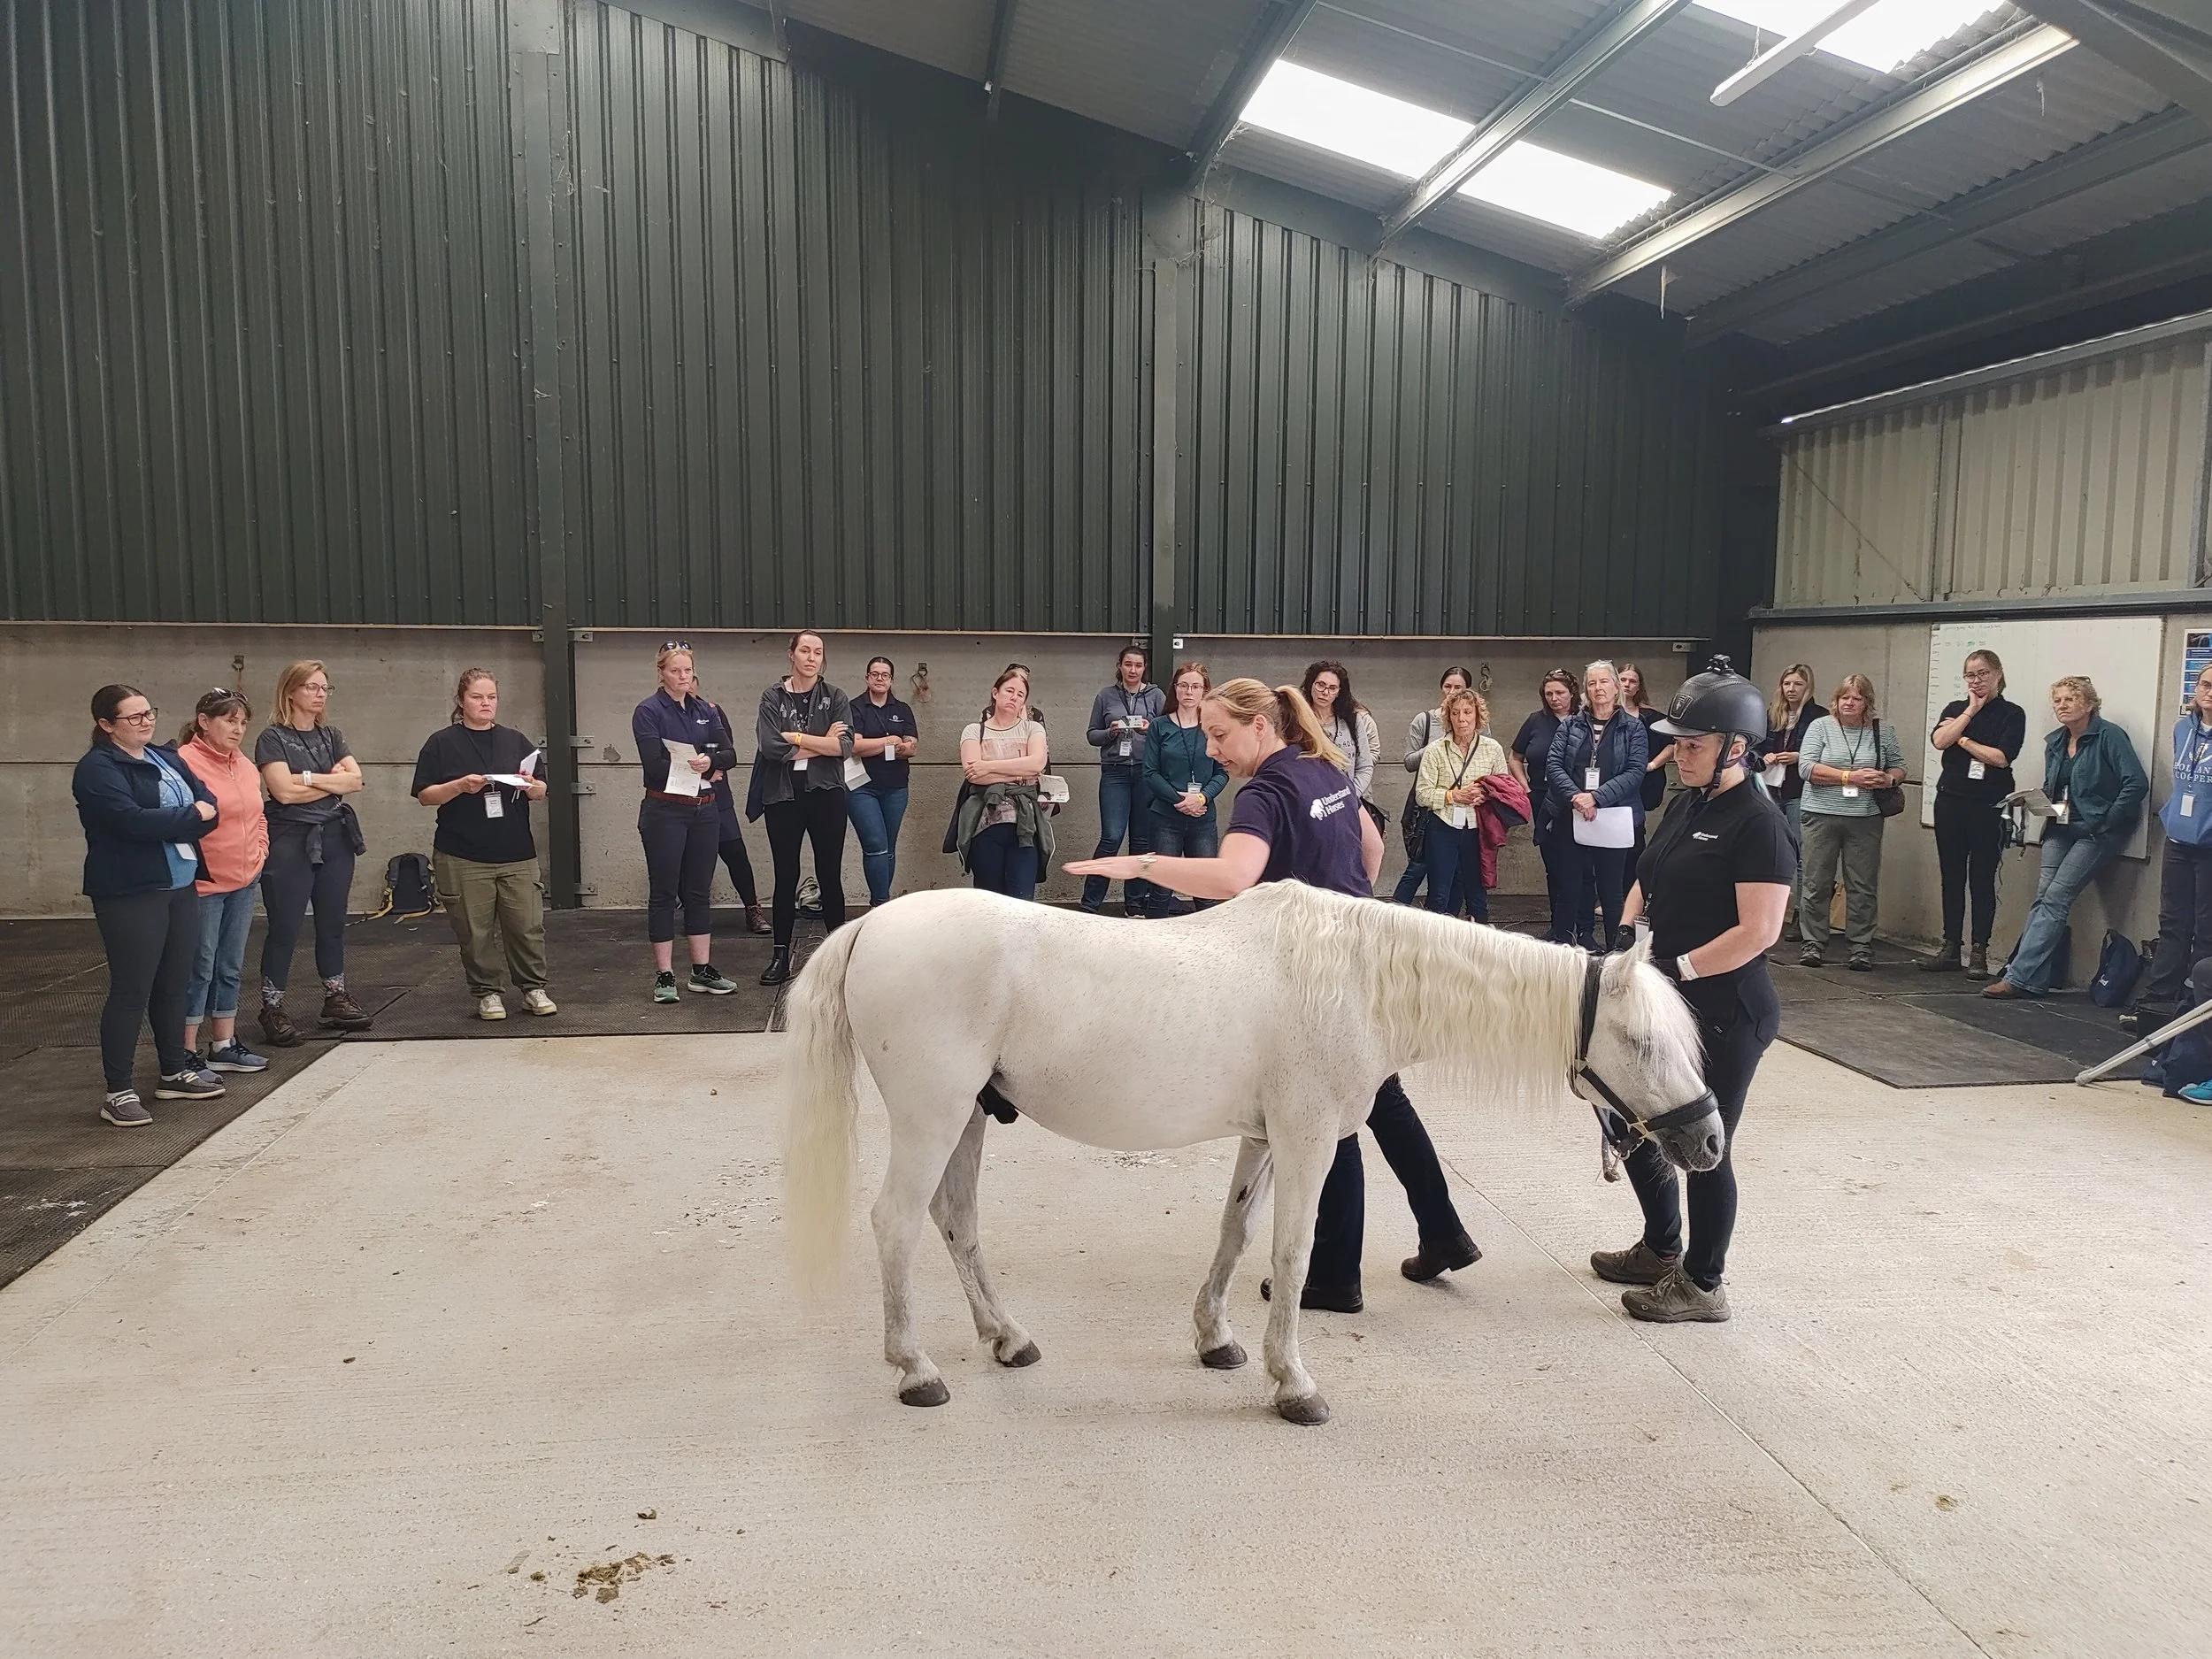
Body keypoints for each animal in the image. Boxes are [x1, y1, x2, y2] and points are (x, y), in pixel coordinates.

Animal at [782, 881, 1723, 1425]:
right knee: (898, 1223)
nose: (1709, 1138)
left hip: (969, 1118)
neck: (1355, 976)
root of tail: (871, 927)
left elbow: (1235, 1237)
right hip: (932, 1116)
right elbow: (1293, 1253)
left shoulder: (1266, 1138)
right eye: (1642, 1041)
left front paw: (1217, 1341)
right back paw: (916, 1370)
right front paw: (1295, 1383)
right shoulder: (1306, 1141)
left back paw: (1007, 1339)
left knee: (956, 1220)